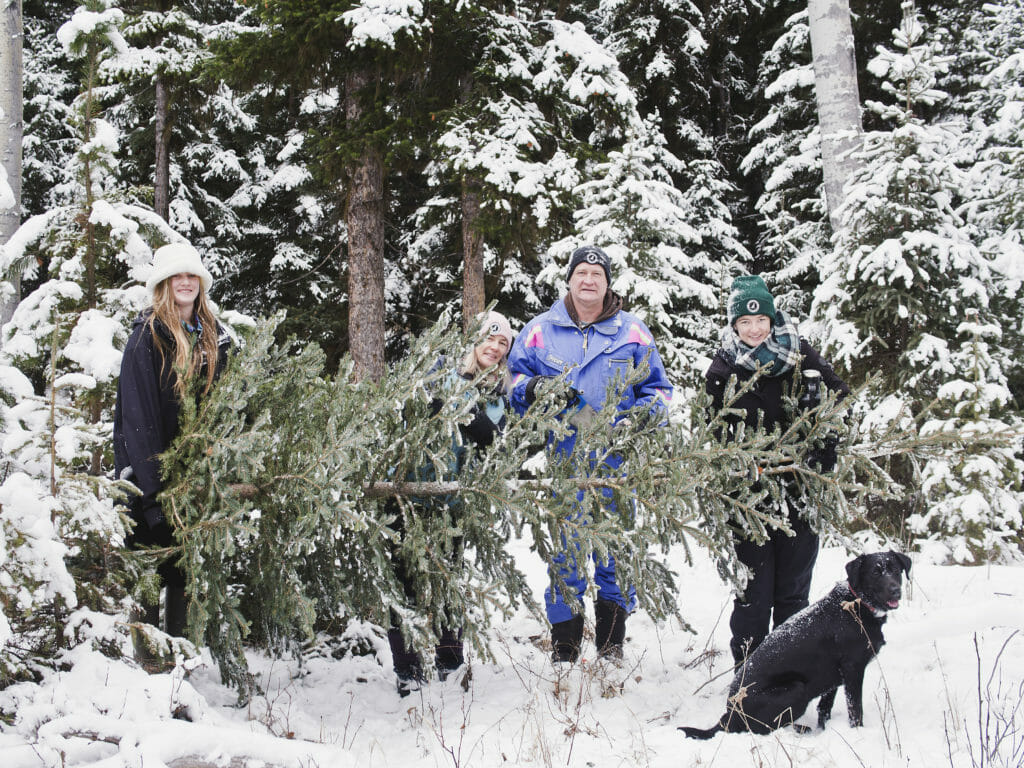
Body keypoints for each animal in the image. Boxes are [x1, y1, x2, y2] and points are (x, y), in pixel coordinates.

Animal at [679, 552, 913, 741]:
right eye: (875, 573)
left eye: (896, 570)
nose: (896, 591)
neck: (857, 604)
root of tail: (729, 714)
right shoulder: (853, 669)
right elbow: (855, 709)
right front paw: (857, 733)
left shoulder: (835, 677)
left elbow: (824, 708)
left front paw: (825, 729)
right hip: (796, 688)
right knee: (761, 729)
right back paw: (799, 730)